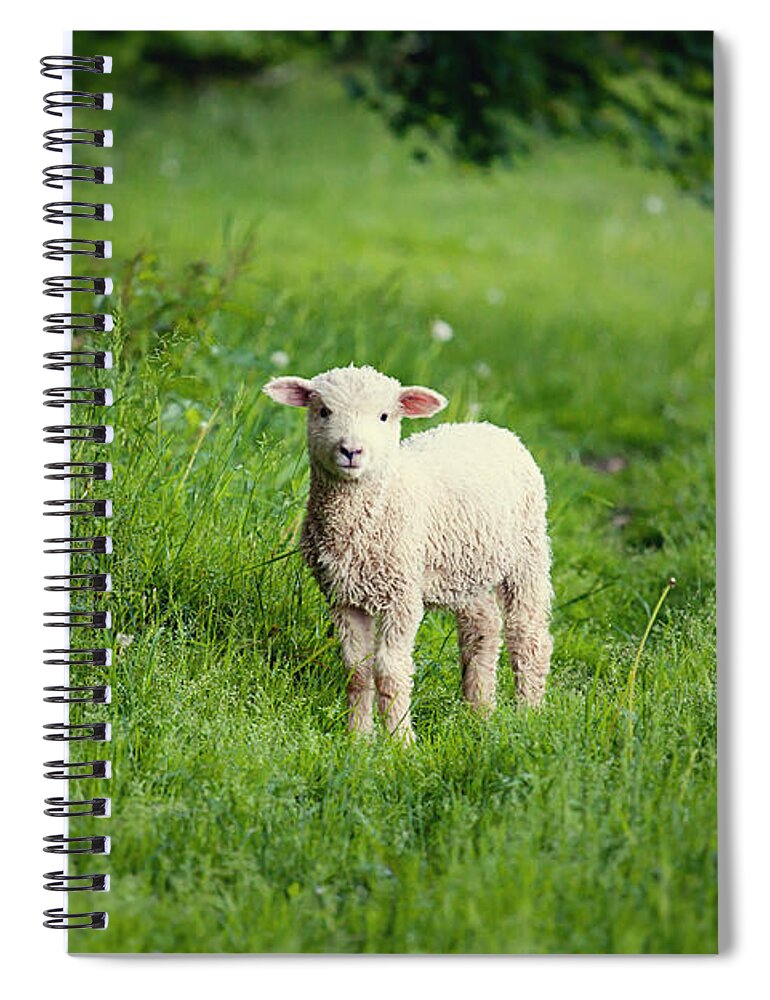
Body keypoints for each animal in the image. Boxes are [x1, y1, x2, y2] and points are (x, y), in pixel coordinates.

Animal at [264, 364, 553, 742]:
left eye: (384, 416)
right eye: (323, 411)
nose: (351, 450)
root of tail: (491, 427)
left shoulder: (401, 596)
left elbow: (389, 670)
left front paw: (400, 741)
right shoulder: (342, 596)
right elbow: (357, 670)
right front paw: (358, 738)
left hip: (528, 551)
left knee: (528, 636)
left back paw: (528, 717)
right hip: (463, 569)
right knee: (483, 626)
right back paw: (479, 712)